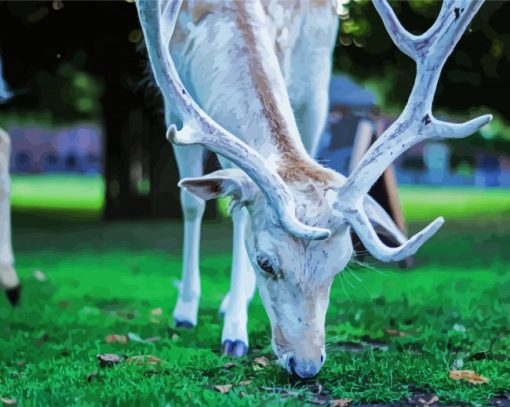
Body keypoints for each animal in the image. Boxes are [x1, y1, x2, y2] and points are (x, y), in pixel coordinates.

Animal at [136, 0, 490, 380]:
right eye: (264, 262)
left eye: (342, 263)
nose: (305, 365)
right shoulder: (173, 109)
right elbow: (194, 204)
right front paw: (197, 317)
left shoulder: (308, 74)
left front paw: (234, 324)